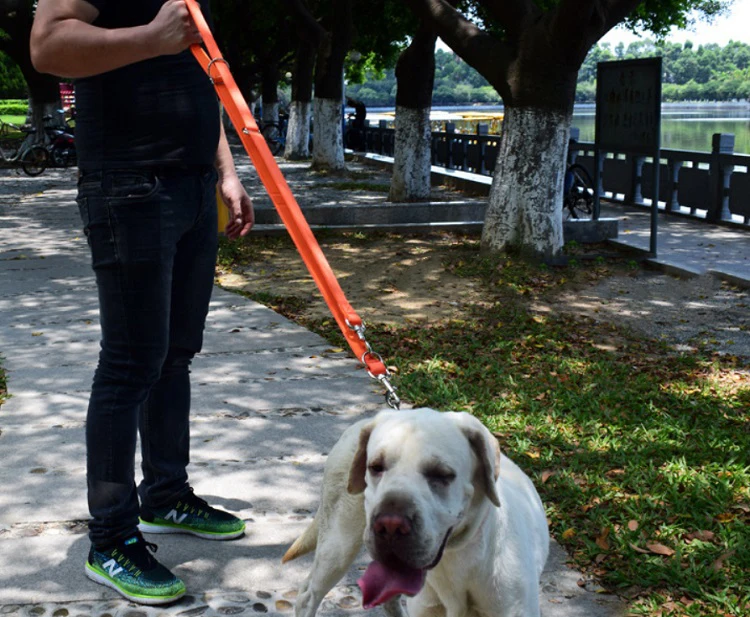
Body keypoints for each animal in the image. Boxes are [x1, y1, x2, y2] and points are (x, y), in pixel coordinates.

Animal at [284, 406, 548, 612]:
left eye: (441, 474)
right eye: (375, 467)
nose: (390, 525)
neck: (456, 559)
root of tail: (361, 423)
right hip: (338, 544)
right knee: (308, 596)